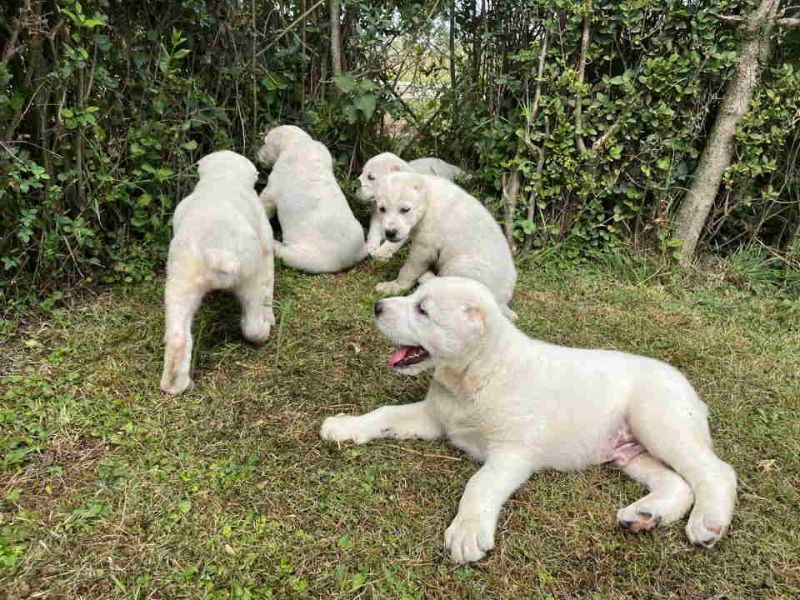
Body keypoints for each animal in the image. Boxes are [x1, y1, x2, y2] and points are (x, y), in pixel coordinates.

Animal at [159, 150, 276, 396]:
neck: (222, 178)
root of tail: (216, 251)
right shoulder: (266, 245)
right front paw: (270, 318)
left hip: (181, 281)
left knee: (178, 336)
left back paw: (175, 385)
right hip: (250, 277)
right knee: (252, 322)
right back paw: (262, 331)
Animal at [258, 125, 368, 274]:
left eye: (265, 142)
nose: (257, 154)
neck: (299, 141)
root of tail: (349, 258)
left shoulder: (282, 170)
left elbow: (268, 199)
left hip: (315, 255)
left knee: (290, 256)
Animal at [318, 276, 736, 564]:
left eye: (423, 310)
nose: (377, 306)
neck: (474, 378)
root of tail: (691, 391)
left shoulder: (512, 453)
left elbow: (479, 484)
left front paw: (468, 531)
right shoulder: (433, 418)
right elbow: (384, 414)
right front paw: (345, 425)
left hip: (659, 422)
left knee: (715, 472)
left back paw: (708, 521)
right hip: (630, 451)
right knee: (678, 483)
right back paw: (645, 515)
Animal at [370, 171, 516, 322]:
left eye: (405, 209)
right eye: (382, 209)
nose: (390, 232)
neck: (428, 197)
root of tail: (503, 302)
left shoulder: (428, 238)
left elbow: (413, 264)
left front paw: (392, 286)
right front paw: (381, 252)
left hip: (467, 266)